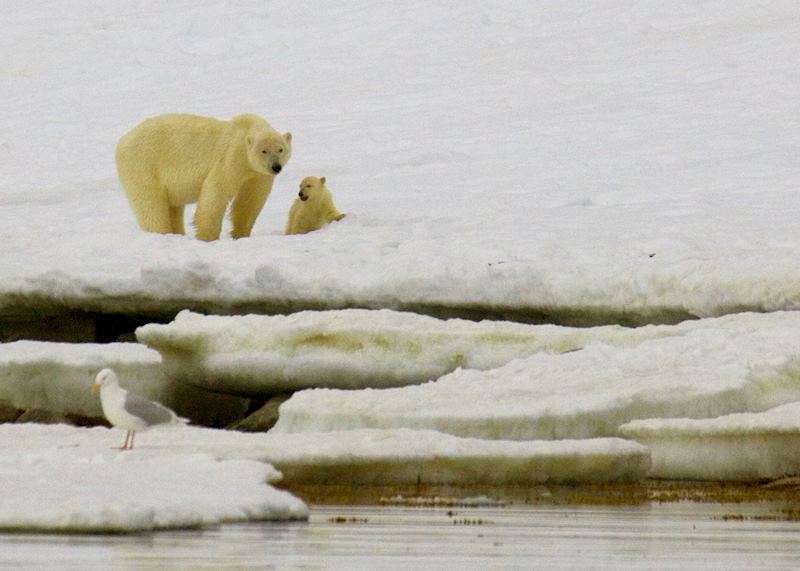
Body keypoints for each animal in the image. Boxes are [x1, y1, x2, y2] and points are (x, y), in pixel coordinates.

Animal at [116, 113, 292, 241]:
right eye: (264, 151)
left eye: (281, 149)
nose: (276, 167)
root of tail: (123, 140)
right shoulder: (231, 158)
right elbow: (216, 191)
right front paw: (208, 237)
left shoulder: (258, 175)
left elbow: (250, 200)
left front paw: (240, 234)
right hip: (143, 165)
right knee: (151, 205)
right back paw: (162, 233)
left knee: (173, 207)